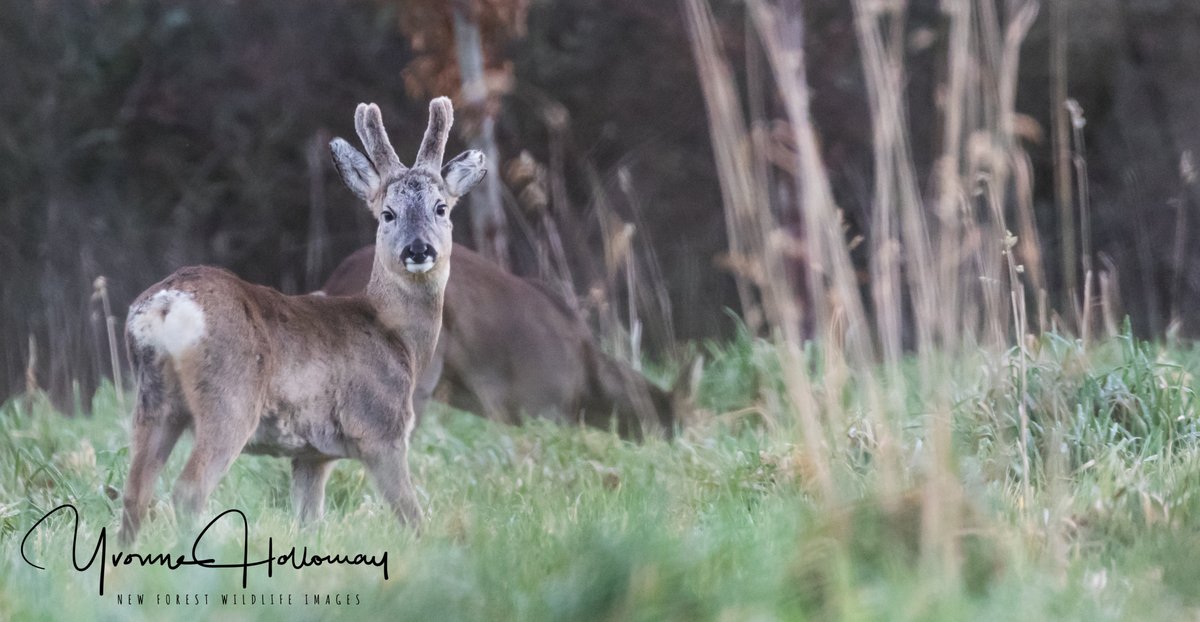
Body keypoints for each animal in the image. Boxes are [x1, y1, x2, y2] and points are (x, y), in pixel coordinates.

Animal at [119, 97, 486, 542]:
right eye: (387, 213)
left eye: (441, 207)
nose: (418, 249)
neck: (396, 335)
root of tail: (166, 305)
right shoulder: (380, 428)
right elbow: (410, 514)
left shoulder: (313, 454)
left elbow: (310, 522)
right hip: (229, 398)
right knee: (188, 489)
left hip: (153, 402)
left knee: (135, 493)